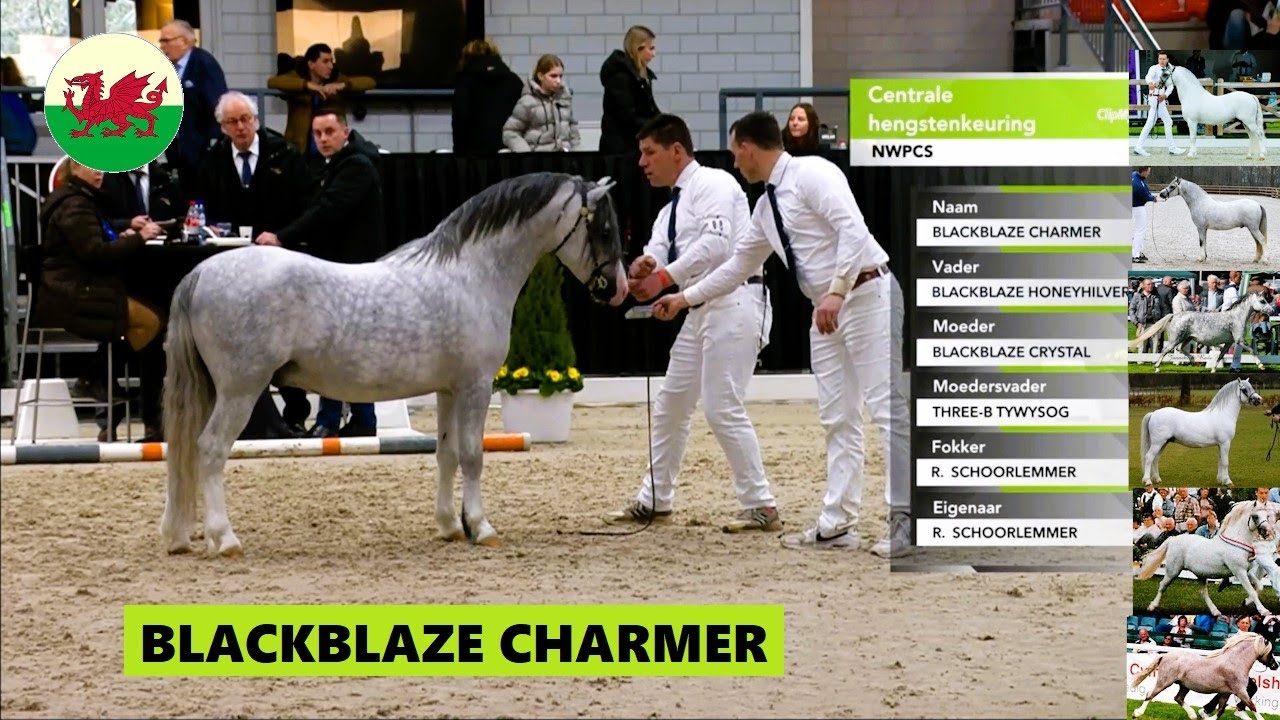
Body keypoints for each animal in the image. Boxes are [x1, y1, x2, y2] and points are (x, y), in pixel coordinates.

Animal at [159, 173, 629, 556]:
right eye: (605, 229)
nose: (619, 289)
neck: (471, 275)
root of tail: (200, 273)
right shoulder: (476, 386)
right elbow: (473, 456)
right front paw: (481, 527)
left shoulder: (448, 390)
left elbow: (447, 454)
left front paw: (450, 527)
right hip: (241, 390)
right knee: (210, 450)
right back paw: (225, 539)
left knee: (184, 453)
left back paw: (179, 536)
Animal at [1129, 292, 1273, 373]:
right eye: (1262, 301)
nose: (1272, 311)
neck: (1237, 317)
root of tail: (1174, 315)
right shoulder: (1240, 340)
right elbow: (1252, 350)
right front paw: (1261, 366)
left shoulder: (1228, 343)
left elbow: (1220, 356)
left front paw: (1213, 370)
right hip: (1176, 339)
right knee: (1165, 350)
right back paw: (1157, 367)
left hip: (1187, 338)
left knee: (1181, 349)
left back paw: (1193, 360)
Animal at [1130, 632, 1278, 720]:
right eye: (1270, 651)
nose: (1275, 665)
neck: (1235, 662)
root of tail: (1165, 655)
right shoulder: (1240, 691)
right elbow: (1252, 706)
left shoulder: (1226, 692)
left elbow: (1221, 710)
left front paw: (1207, 717)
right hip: (1164, 681)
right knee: (1150, 694)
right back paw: (1136, 713)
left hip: (1184, 685)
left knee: (1178, 698)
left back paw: (1193, 715)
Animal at [1136, 500, 1276, 617]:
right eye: (1255, 516)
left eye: (1267, 516)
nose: (1267, 531)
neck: (1236, 542)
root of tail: (1172, 539)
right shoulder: (1239, 572)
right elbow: (1252, 590)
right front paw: (1264, 611)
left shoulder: (1246, 571)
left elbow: (1259, 587)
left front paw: (1245, 602)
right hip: (1173, 571)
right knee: (1162, 585)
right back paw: (1151, 606)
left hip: (1201, 575)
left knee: (1203, 593)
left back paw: (1216, 612)